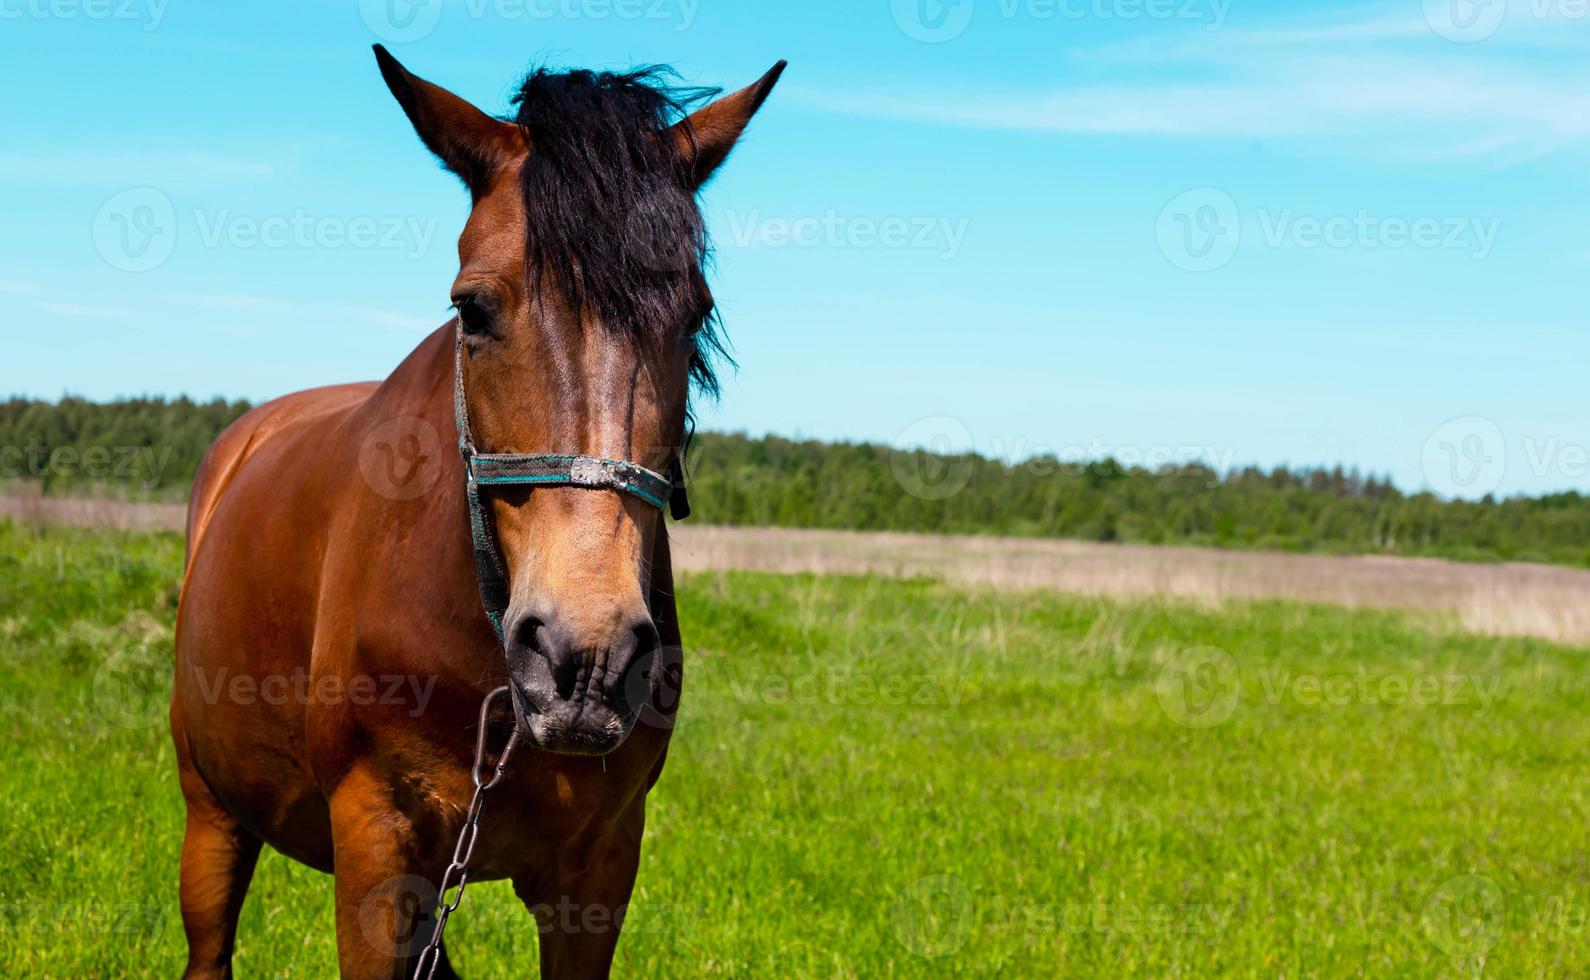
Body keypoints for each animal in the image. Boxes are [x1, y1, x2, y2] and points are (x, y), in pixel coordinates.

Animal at [172, 47, 782, 980]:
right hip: (212, 815)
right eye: (473, 307)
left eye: (695, 313)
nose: (584, 659)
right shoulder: (376, 852)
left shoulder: (599, 871)